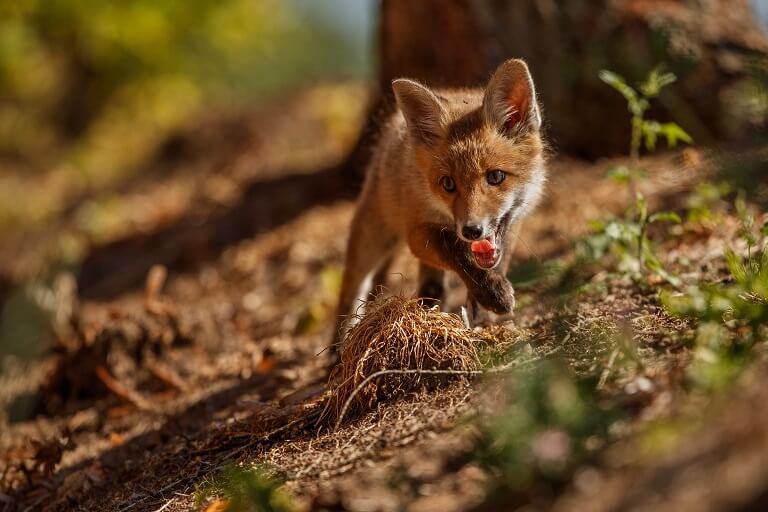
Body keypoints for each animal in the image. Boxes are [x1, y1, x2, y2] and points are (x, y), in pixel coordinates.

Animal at [332, 58, 544, 350]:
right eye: (448, 184)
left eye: (495, 177)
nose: (472, 231)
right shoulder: (417, 232)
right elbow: (453, 248)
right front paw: (491, 293)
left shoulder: (514, 221)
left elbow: (495, 261)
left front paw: (483, 302)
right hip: (371, 237)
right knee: (350, 291)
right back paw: (338, 348)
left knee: (430, 286)